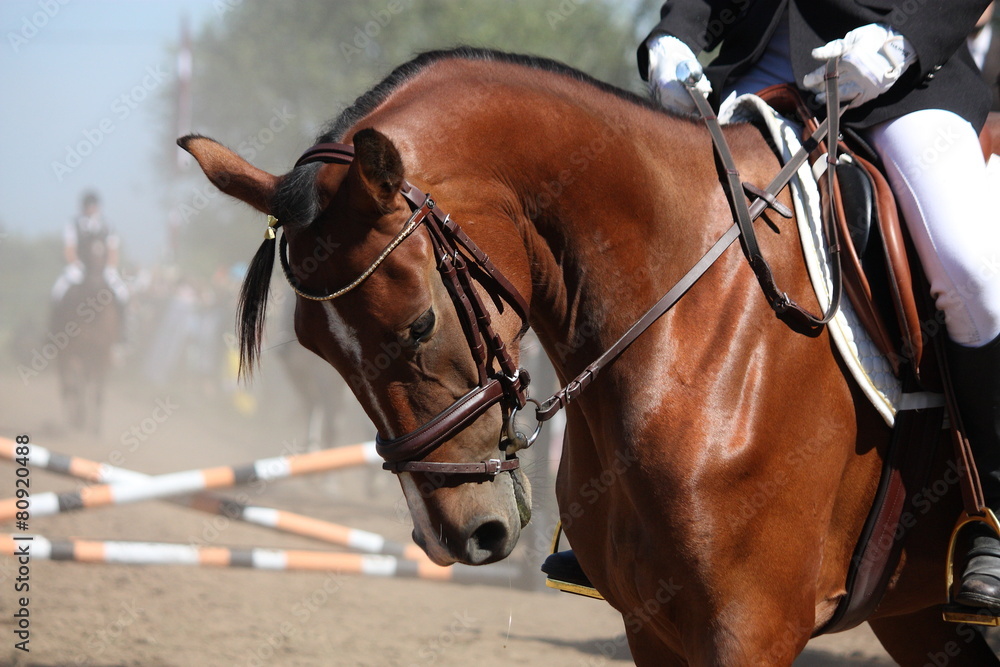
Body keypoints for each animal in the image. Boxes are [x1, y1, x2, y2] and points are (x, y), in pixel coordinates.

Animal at [179, 47, 994, 665]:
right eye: (316, 348)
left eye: (418, 324)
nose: (459, 533)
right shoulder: (652, 626)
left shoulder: (751, 627)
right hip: (915, 616)